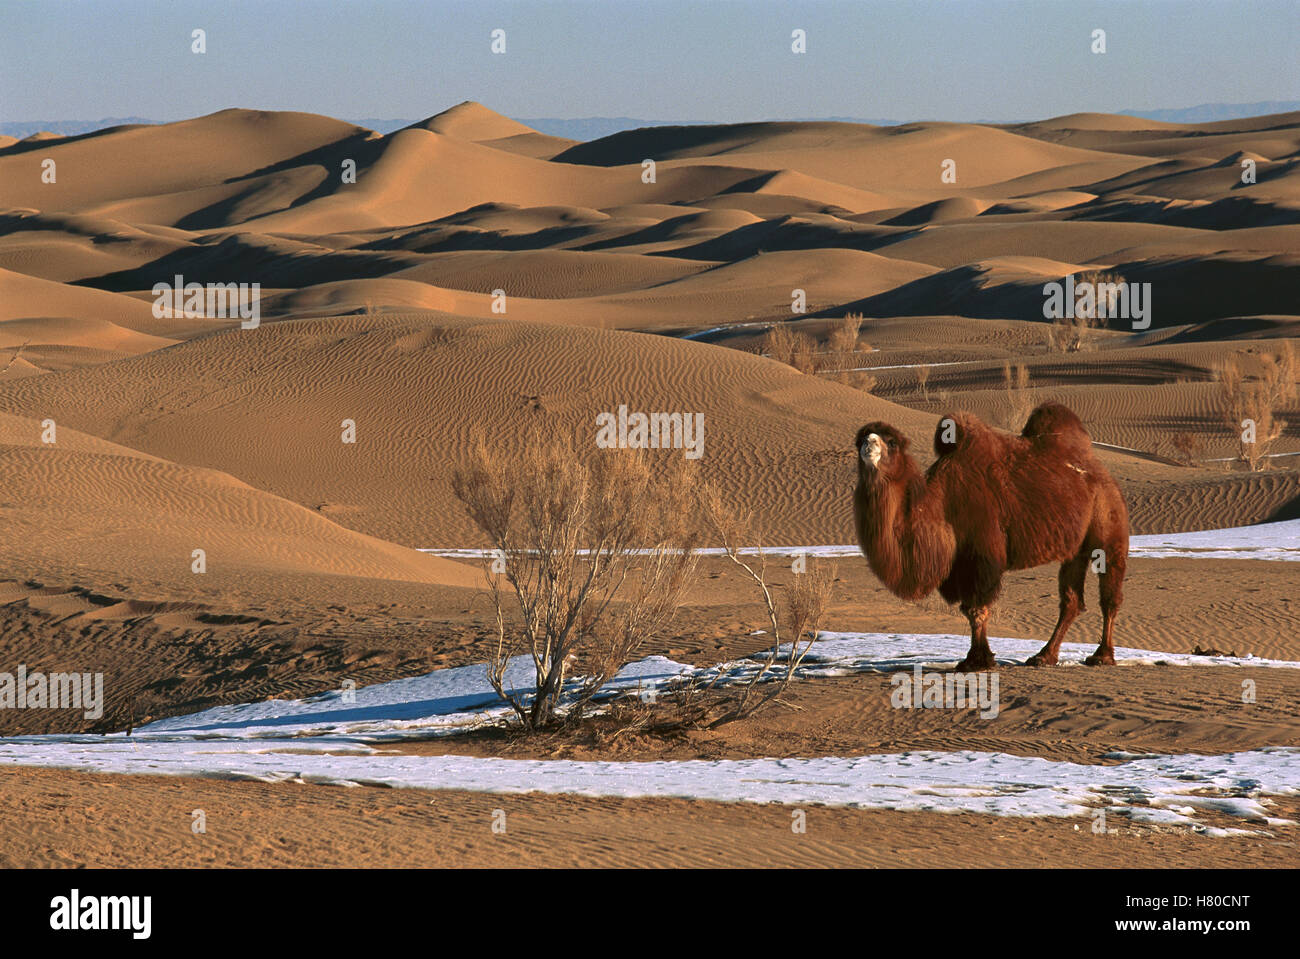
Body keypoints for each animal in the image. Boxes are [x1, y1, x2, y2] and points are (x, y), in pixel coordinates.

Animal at [853, 402, 1129, 671]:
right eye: (860, 440)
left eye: (891, 442)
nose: (869, 444)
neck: (940, 505)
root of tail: (1104, 476)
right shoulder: (959, 565)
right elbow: (969, 610)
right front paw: (975, 658)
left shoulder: (982, 555)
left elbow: (976, 609)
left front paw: (978, 660)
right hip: (1075, 549)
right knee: (1071, 601)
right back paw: (1043, 656)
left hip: (1108, 528)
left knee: (1109, 596)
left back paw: (1101, 656)